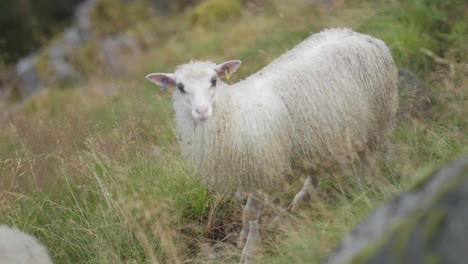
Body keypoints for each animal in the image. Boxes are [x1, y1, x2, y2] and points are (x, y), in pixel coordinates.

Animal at [146, 27, 398, 262]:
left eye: (214, 80)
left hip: (377, 115)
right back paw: (303, 196)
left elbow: (251, 211)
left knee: (369, 157)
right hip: (313, 134)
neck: (232, 115)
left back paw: (366, 187)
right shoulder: (243, 172)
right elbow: (243, 204)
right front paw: (242, 236)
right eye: (180, 87)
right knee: (316, 169)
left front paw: (250, 249)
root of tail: (359, 35)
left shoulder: (261, 167)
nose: (201, 111)